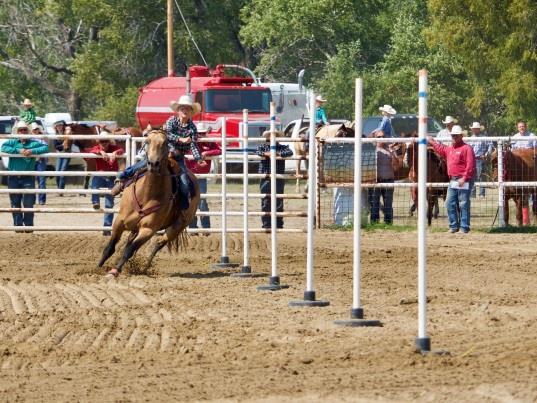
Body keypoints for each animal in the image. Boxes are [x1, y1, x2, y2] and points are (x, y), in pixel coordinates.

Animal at [97, 129, 200, 278]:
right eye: (147, 141)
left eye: (165, 143)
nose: (153, 163)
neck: (147, 194)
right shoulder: (119, 221)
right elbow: (110, 248)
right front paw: (97, 267)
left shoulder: (148, 230)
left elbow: (129, 250)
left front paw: (114, 271)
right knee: (131, 241)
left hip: (176, 227)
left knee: (158, 243)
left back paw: (145, 266)